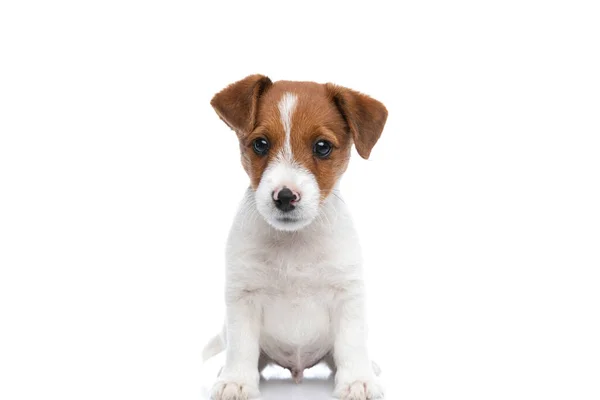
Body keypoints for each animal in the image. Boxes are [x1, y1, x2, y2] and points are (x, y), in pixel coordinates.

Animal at [203, 75, 390, 400]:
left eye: (322, 147)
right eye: (260, 144)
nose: (285, 196)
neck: (294, 242)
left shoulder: (347, 294)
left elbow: (351, 343)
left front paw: (357, 380)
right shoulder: (242, 297)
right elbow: (241, 347)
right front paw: (236, 380)